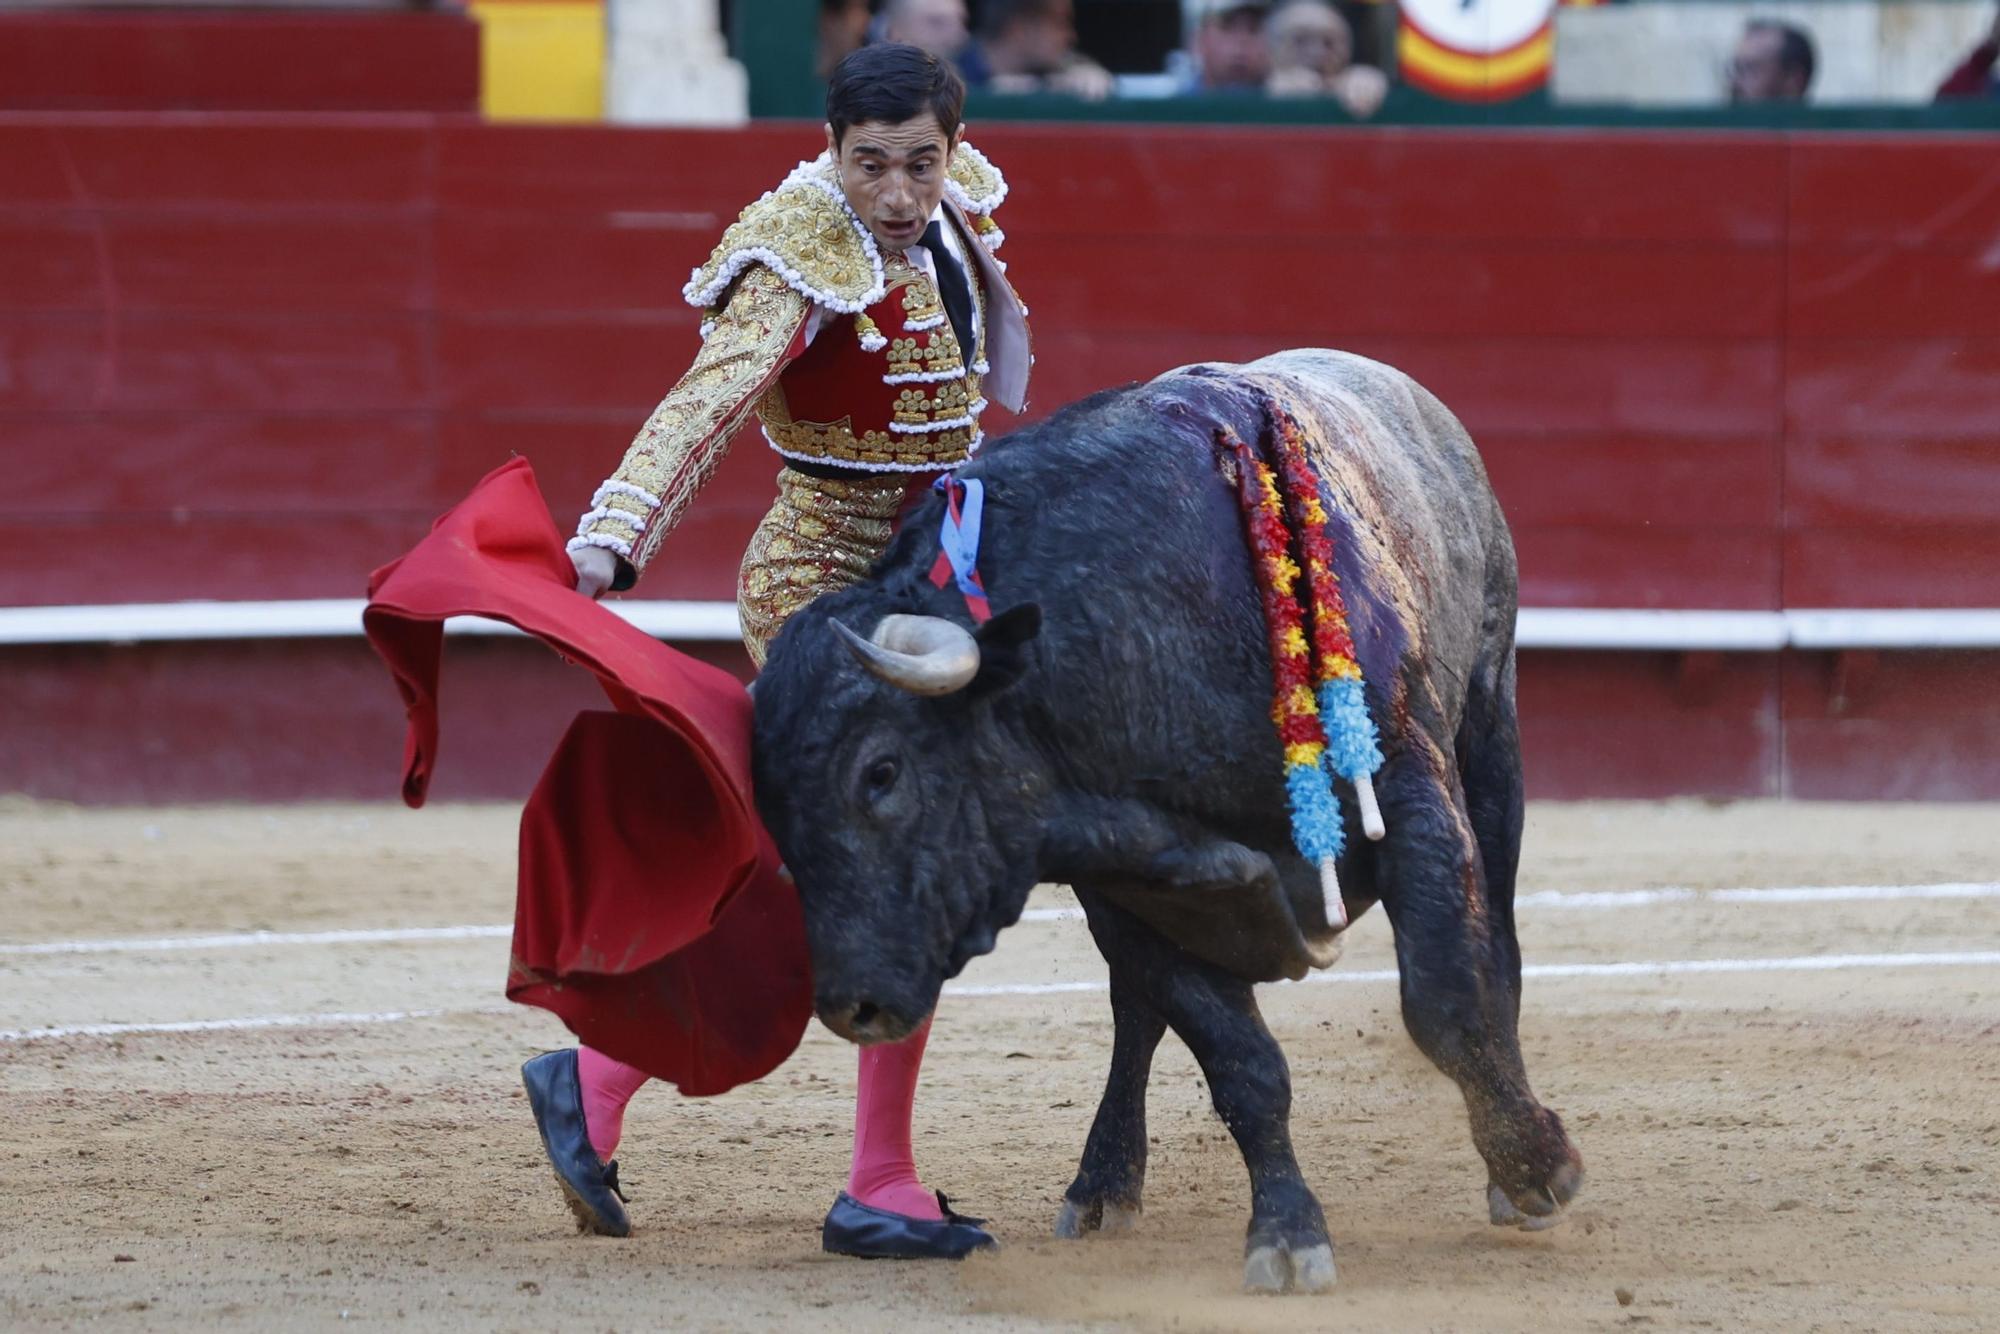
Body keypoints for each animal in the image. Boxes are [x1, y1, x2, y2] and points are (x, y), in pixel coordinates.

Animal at [752, 352, 1576, 1296]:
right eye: (772, 806)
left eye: (881, 772)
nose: (853, 1005)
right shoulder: (1134, 889)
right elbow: (1240, 1063)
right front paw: (1285, 1233)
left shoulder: (1410, 796)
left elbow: (1448, 1000)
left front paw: (1534, 1167)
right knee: (1135, 1019)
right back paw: (1102, 1186)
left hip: (1490, 730)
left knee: (1499, 949)